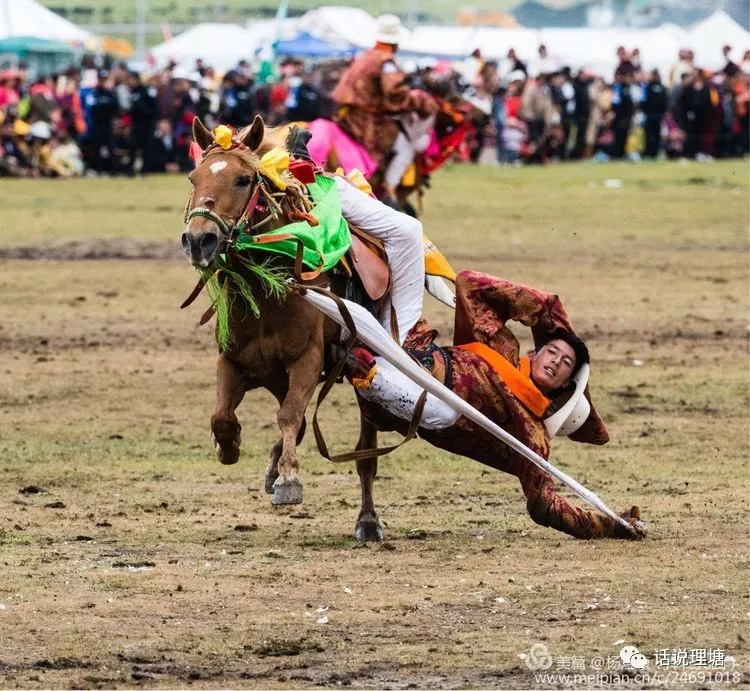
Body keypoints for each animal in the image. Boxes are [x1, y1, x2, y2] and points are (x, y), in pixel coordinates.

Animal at [181, 116, 382, 544]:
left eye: (244, 179)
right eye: (193, 177)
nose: (198, 239)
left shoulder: (306, 360)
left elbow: (289, 416)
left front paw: (289, 480)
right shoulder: (232, 361)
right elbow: (222, 418)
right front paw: (230, 447)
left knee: (365, 454)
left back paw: (368, 520)